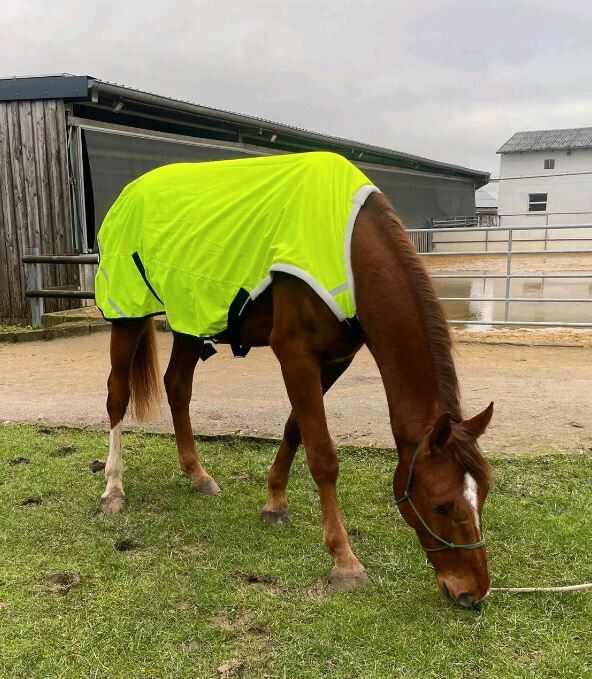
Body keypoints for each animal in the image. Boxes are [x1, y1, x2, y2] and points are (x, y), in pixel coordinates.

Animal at [99, 174, 493, 608]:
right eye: (441, 506)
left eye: (484, 495)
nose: (472, 592)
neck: (349, 246)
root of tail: (130, 192)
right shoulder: (295, 354)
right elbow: (322, 455)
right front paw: (344, 561)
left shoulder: (334, 361)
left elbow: (294, 429)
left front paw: (275, 503)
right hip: (127, 314)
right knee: (117, 395)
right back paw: (113, 489)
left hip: (190, 320)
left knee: (177, 387)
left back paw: (197, 475)